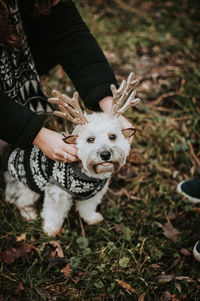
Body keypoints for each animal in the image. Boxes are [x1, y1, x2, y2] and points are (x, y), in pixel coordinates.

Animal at [4, 72, 139, 234]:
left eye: (112, 136)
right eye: (90, 139)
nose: (105, 154)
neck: (89, 175)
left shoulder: (94, 194)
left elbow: (88, 208)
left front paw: (91, 218)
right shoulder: (57, 193)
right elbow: (54, 213)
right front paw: (51, 229)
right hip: (30, 187)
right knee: (20, 199)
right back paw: (28, 212)